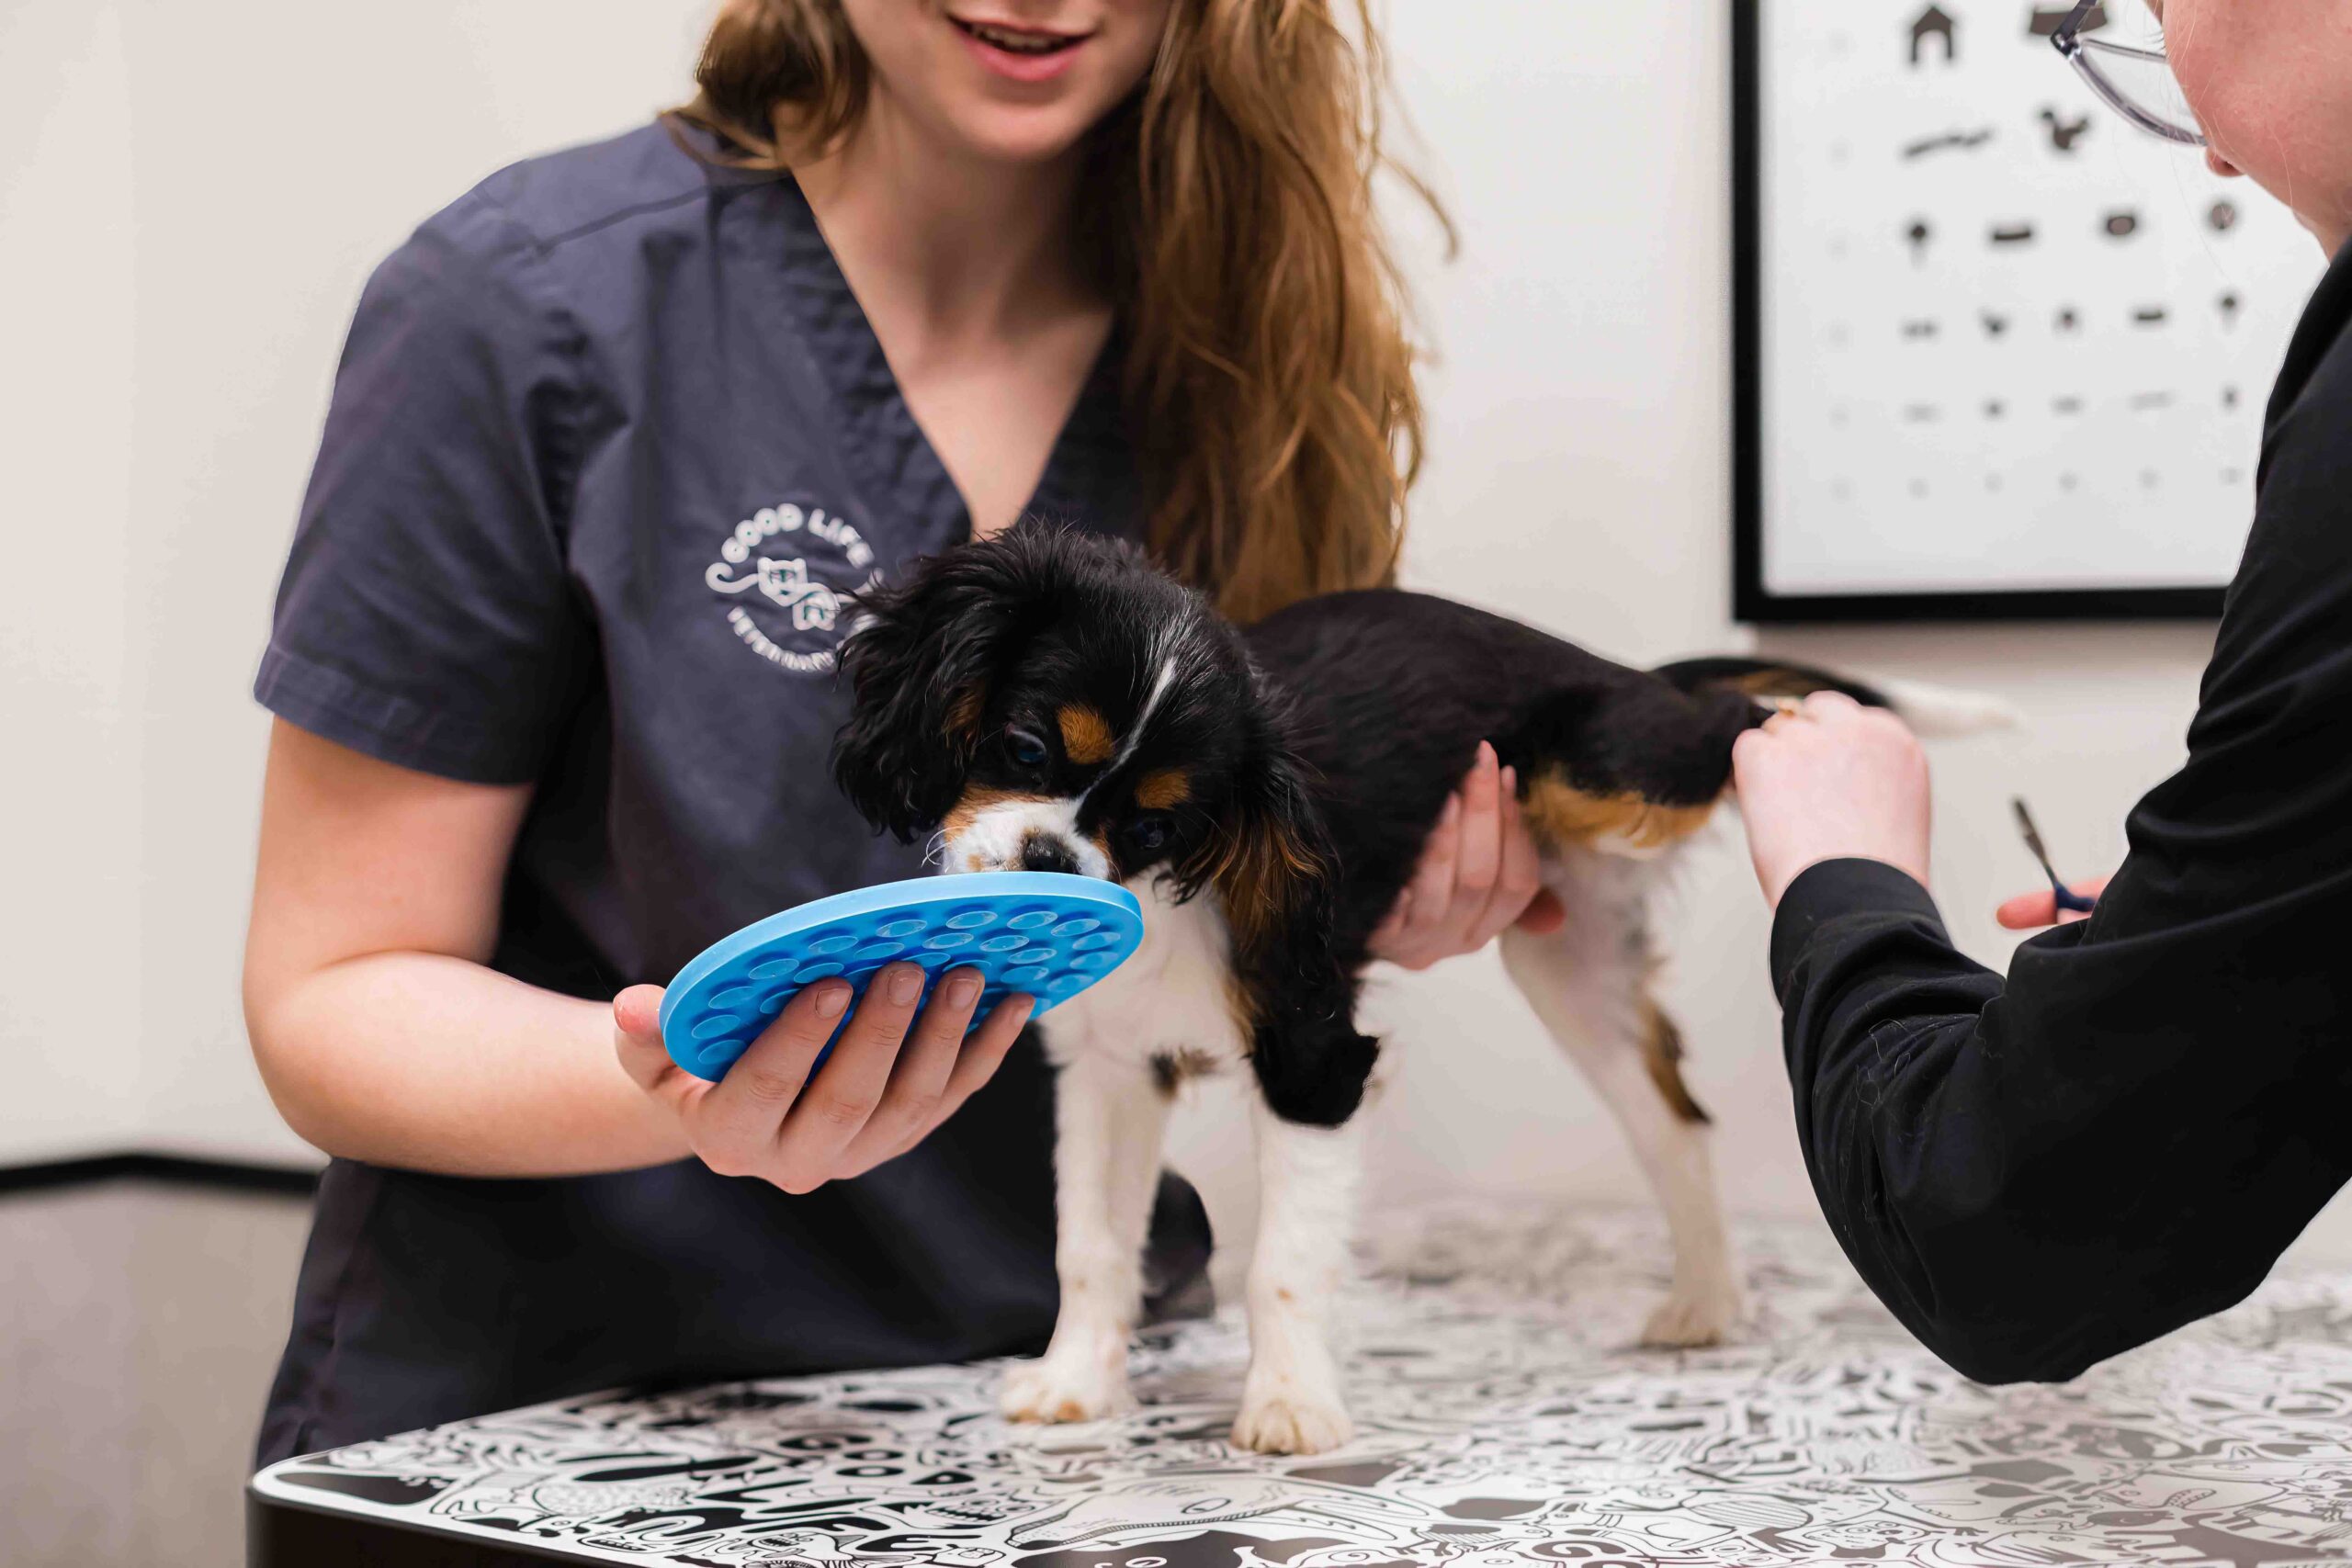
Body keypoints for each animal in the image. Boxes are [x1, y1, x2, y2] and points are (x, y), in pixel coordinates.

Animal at [837, 526, 1994, 1457]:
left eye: (1157, 824)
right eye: (1025, 747)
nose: (1048, 858)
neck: (1172, 893)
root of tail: (1616, 670)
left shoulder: (1313, 1058)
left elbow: (1280, 1262)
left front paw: (1289, 1408)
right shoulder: (1108, 1068)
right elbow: (1089, 1242)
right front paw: (1075, 1383)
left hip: (1611, 769)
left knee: (1732, 723)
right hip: (1572, 966)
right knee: (1674, 1119)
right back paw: (1707, 1299)